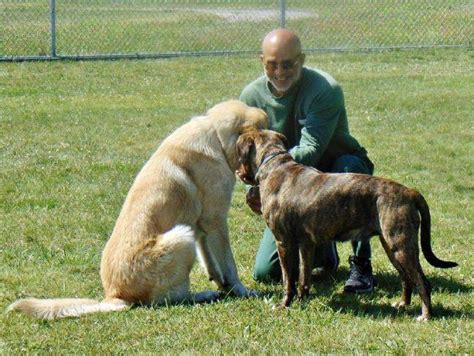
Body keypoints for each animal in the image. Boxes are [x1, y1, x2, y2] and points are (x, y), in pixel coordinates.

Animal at [239, 129, 458, 322]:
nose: (238, 172)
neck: (275, 165)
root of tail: (409, 192)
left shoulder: (284, 243)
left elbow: (288, 281)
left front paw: (284, 305)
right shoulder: (306, 245)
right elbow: (303, 279)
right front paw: (302, 301)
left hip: (401, 246)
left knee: (423, 282)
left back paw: (425, 315)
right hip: (393, 248)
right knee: (406, 278)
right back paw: (403, 304)